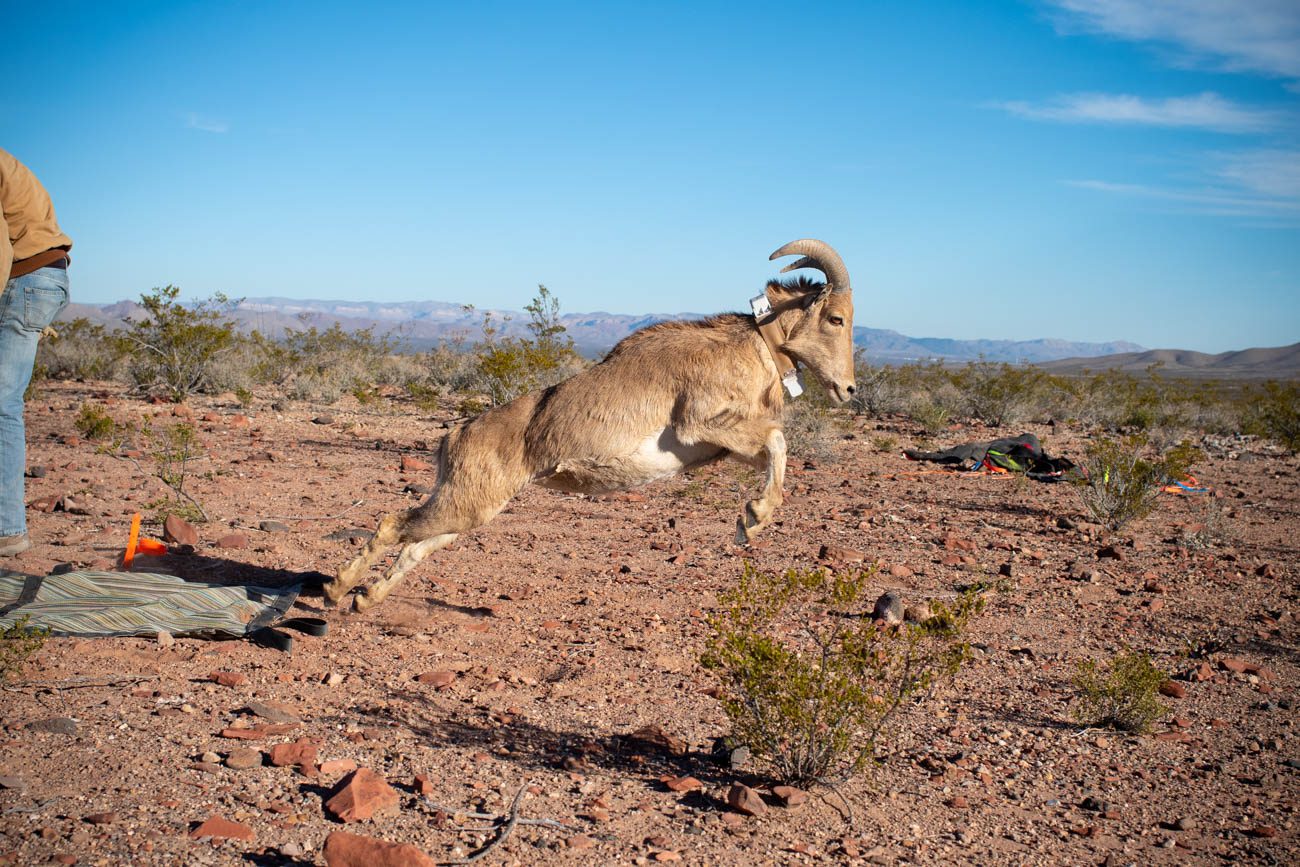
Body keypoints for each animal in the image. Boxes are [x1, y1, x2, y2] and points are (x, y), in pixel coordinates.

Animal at [324, 239, 856, 612]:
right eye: (835, 318)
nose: (849, 390)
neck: (755, 346)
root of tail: (454, 437)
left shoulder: (724, 445)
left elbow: (771, 447)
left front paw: (752, 517)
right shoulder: (700, 424)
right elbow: (777, 439)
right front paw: (753, 518)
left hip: (470, 510)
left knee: (415, 547)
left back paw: (364, 599)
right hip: (462, 505)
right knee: (393, 525)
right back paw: (335, 590)